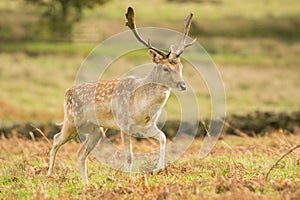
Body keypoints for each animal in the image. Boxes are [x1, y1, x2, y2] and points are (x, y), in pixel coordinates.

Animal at [46, 6, 195, 184]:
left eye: (181, 67)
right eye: (165, 68)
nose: (183, 85)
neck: (141, 107)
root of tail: (67, 91)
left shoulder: (147, 126)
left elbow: (163, 137)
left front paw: (156, 170)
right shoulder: (124, 125)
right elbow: (129, 155)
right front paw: (130, 179)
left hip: (96, 129)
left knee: (80, 153)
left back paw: (86, 184)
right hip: (72, 121)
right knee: (56, 138)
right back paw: (48, 174)